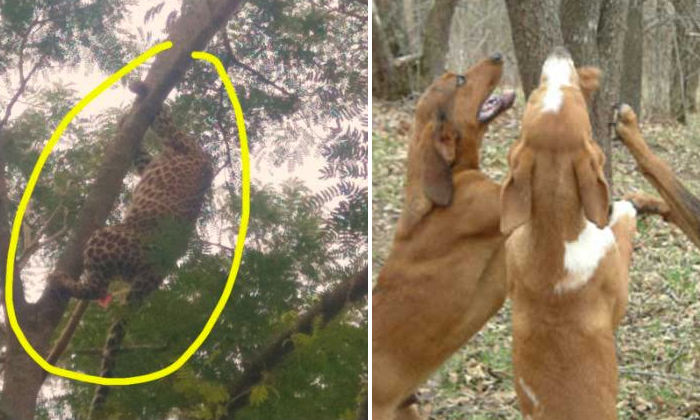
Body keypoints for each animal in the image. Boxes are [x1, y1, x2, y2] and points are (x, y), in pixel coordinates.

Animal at [49, 81, 213, 417]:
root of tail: (158, 272)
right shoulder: (150, 162)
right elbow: (141, 152)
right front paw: (126, 118)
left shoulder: (176, 142)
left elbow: (162, 116)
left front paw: (139, 89)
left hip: (106, 239)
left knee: (97, 288)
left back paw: (60, 280)